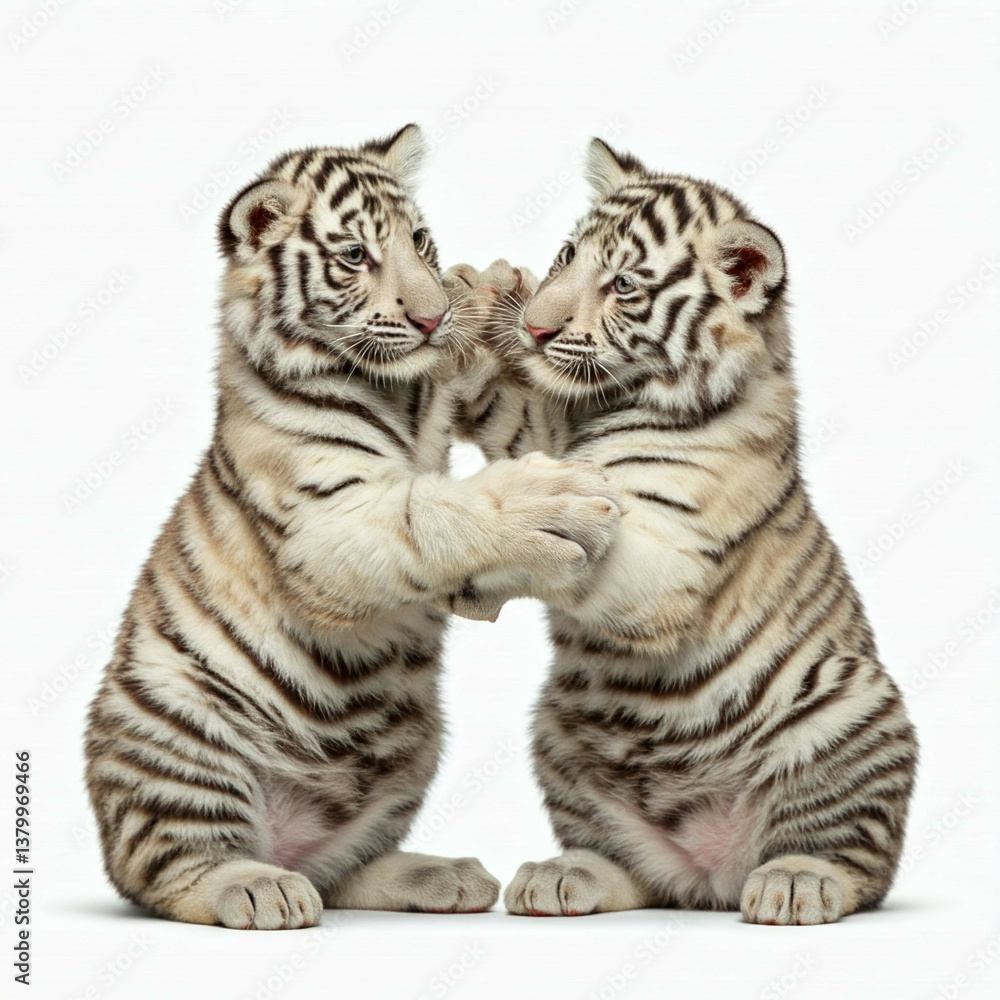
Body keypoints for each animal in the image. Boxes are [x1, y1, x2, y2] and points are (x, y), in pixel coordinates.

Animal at [83, 125, 622, 930]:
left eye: (420, 243)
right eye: (353, 256)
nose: (432, 318)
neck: (399, 390)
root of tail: (285, 842)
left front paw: (490, 288)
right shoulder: (325, 521)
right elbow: (432, 509)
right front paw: (550, 500)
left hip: (411, 750)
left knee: (342, 870)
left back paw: (438, 874)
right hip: (175, 734)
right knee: (170, 866)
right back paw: (257, 888)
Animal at [451, 139, 918, 925]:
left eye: (623, 286)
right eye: (567, 255)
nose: (536, 329)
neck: (613, 401)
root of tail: (714, 875)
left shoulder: (668, 556)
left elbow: (589, 540)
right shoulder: (547, 428)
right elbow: (515, 416)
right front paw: (478, 306)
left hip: (850, 711)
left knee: (854, 858)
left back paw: (797, 882)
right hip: (559, 734)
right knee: (635, 870)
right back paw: (568, 875)